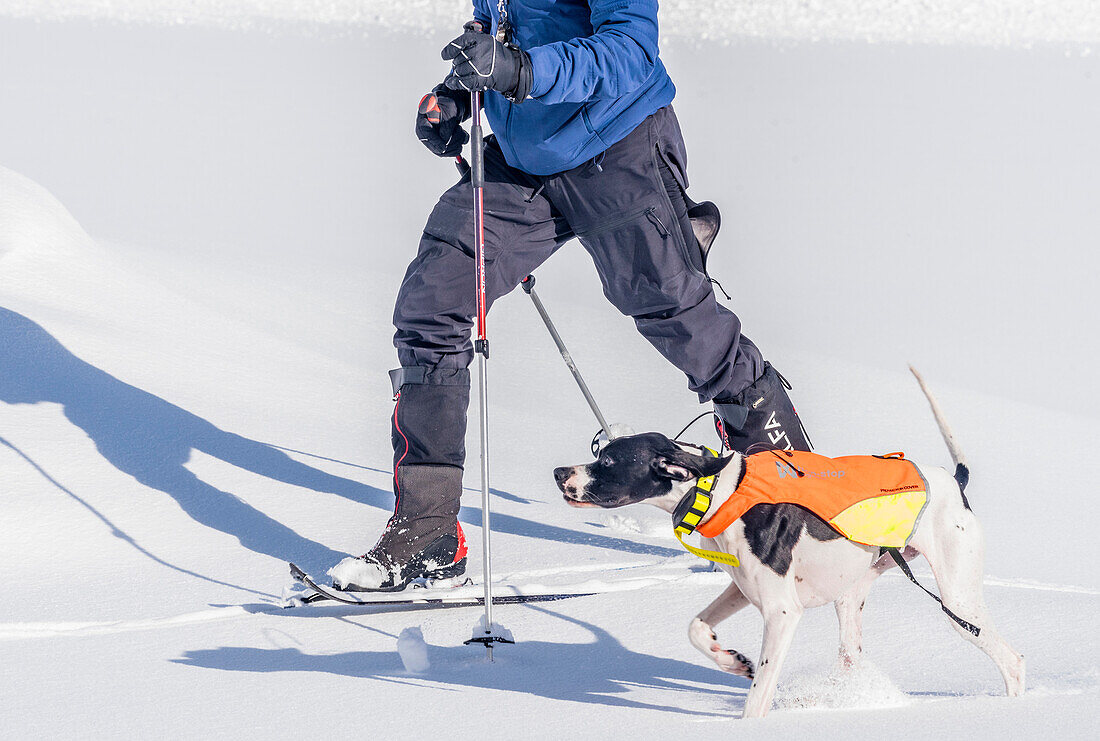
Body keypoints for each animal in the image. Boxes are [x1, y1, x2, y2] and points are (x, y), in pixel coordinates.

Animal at [554, 375, 1025, 716]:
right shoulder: (742, 588)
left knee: (1013, 661)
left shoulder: (782, 612)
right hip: (851, 597)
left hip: (959, 603)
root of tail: (953, 481)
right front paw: (731, 660)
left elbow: (760, 694)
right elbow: (696, 628)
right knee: (851, 657)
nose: (560, 472)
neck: (720, 489)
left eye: (607, 461)